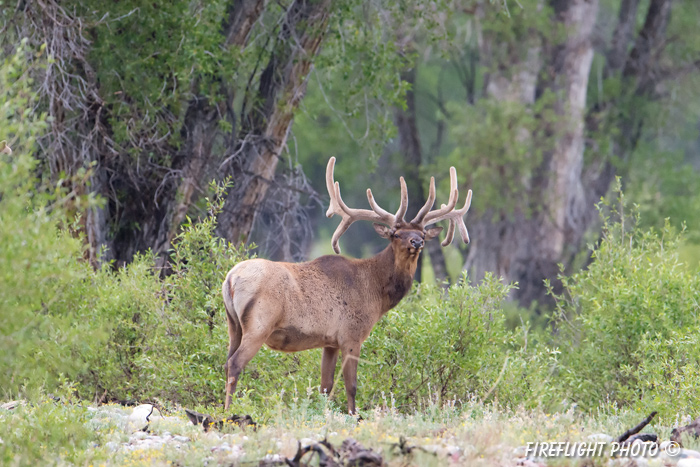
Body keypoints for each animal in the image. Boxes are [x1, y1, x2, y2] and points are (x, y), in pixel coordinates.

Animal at [221, 157, 474, 414]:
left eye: (422, 232)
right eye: (395, 233)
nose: (417, 242)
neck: (375, 292)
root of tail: (230, 278)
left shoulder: (330, 342)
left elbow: (325, 386)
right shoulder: (351, 335)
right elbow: (351, 386)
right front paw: (354, 415)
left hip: (234, 325)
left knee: (226, 360)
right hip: (260, 324)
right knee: (235, 363)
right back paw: (229, 411)